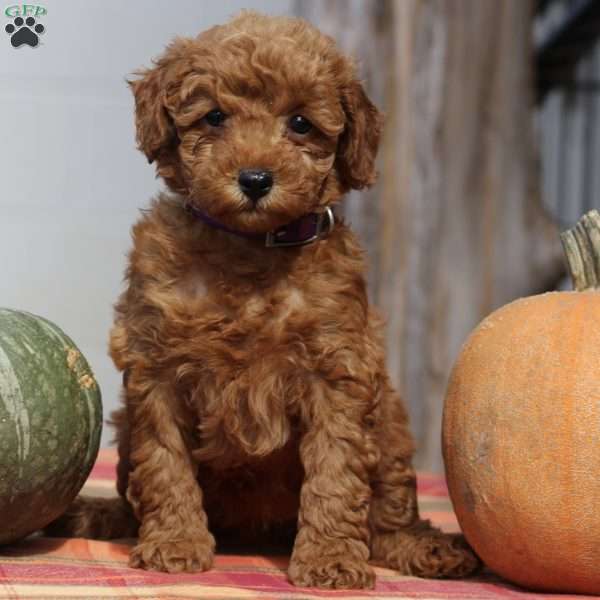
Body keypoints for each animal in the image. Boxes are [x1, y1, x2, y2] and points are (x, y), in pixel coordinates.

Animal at [47, 10, 478, 592]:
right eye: (214, 117)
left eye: (300, 123)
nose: (254, 179)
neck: (249, 249)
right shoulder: (156, 368)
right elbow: (165, 462)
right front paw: (176, 543)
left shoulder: (337, 372)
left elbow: (336, 471)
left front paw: (330, 559)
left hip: (389, 423)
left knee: (389, 513)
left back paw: (427, 548)